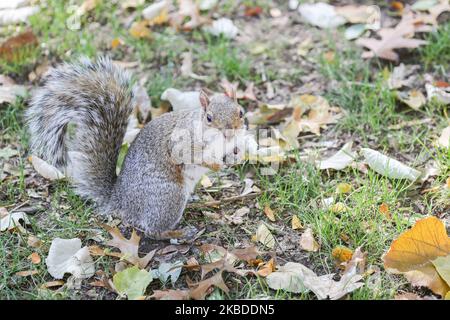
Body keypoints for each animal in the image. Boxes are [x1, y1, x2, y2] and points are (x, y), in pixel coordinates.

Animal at [27, 57, 246, 238]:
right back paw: (180, 233)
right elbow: (190, 157)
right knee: (153, 231)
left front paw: (237, 156)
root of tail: (119, 200)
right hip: (168, 197)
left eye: (241, 112)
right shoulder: (182, 142)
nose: (229, 132)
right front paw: (216, 166)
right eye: (209, 118)